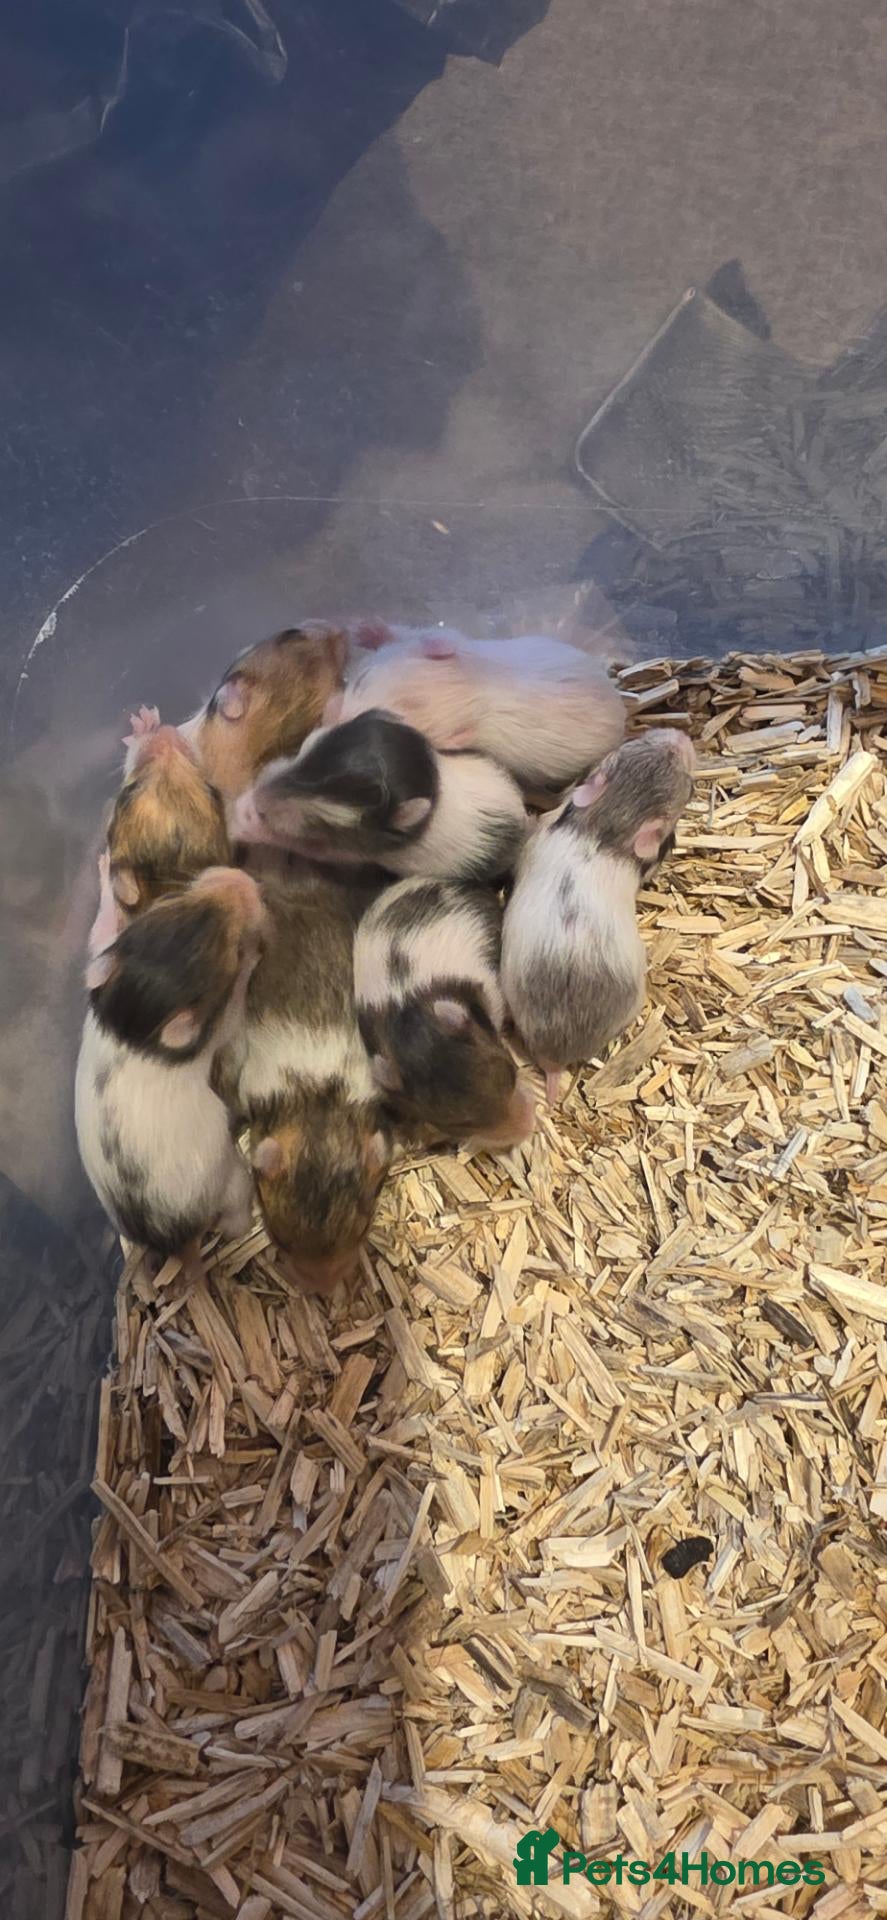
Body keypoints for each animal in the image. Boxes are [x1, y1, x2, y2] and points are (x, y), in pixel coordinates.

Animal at [75, 867, 267, 1256]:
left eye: (169, 900)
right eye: (231, 952)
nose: (241, 877)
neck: (131, 1029)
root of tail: (174, 1240)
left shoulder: (105, 951)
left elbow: (103, 927)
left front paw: (104, 866)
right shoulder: (218, 1029)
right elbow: (235, 1009)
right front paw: (254, 958)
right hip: (231, 1178)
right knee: (235, 1217)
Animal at [231, 709, 528, 884]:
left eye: (324, 819)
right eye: (306, 746)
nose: (259, 796)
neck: (436, 784)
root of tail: (523, 812)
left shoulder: (350, 851)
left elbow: (300, 843)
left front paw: (246, 820)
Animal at [332, 621, 625, 791]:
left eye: (386, 719)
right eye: (361, 678)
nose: (336, 720)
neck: (469, 689)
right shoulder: (446, 638)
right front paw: (362, 628)